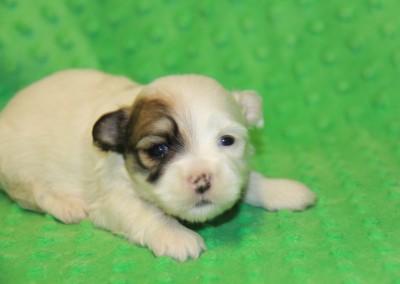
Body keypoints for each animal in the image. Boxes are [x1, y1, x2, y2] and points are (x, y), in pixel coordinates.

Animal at [0, 70, 316, 260]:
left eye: (227, 141)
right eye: (158, 149)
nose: (202, 179)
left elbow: (250, 179)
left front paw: (283, 190)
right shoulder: (115, 198)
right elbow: (148, 213)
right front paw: (177, 236)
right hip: (18, 169)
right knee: (34, 194)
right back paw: (66, 206)